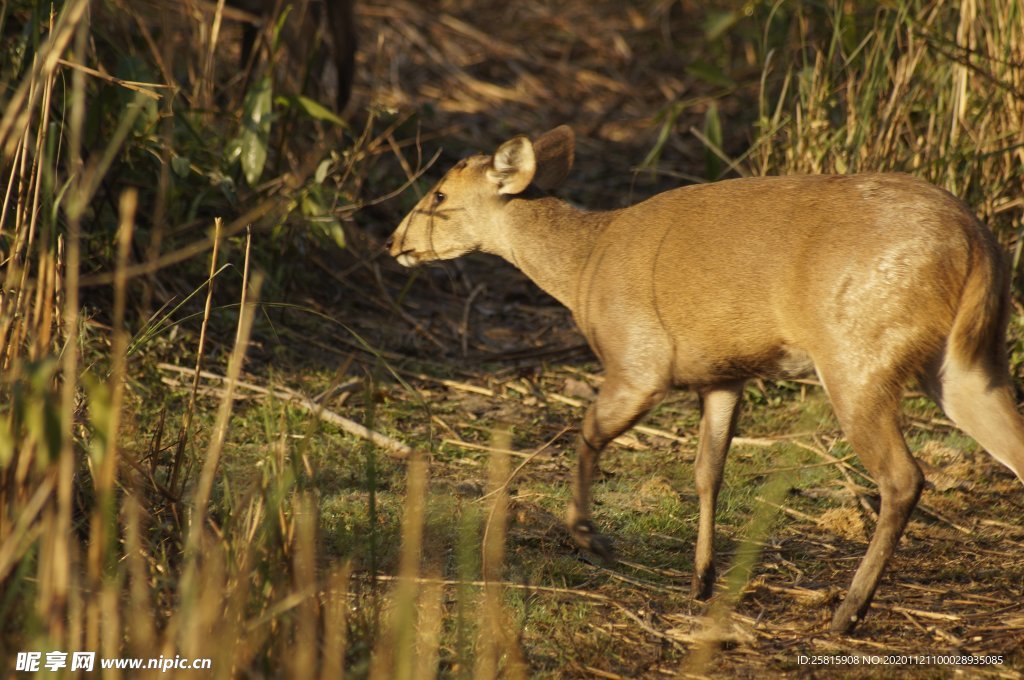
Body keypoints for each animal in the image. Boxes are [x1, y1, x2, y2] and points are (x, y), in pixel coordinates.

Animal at [385, 125, 1024, 630]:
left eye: (439, 193)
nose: (395, 243)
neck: (584, 266)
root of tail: (977, 244)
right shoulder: (722, 374)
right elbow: (707, 471)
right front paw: (702, 580)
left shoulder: (639, 360)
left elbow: (587, 433)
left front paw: (591, 538)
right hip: (967, 364)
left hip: (856, 353)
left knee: (903, 477)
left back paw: (848, 611)